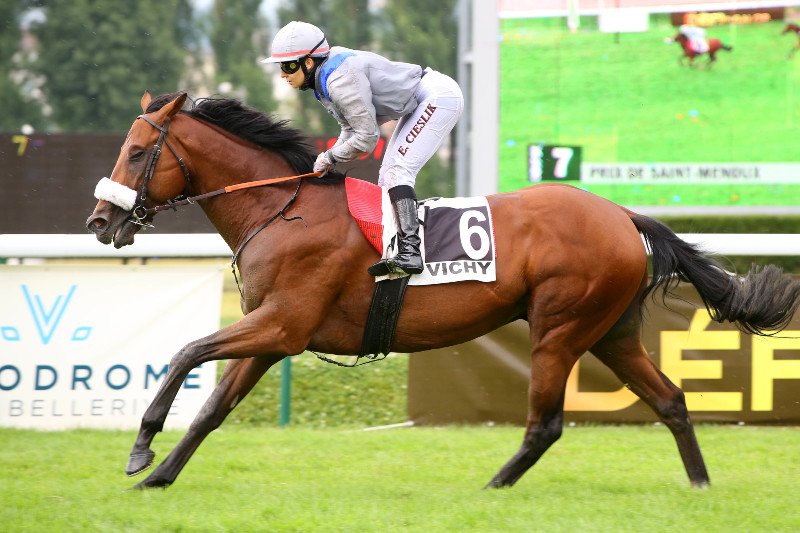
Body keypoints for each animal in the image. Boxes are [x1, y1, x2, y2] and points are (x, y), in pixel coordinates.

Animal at [86, 91, 800, 490]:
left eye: (138, 150)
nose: (99, 221)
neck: (282, 209)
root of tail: (623, 215)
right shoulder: (271, 334)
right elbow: (214, 407)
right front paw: (161, 476)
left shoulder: (282, 324)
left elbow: (185, 352)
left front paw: (141, 447)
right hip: (612, 333)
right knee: (672, 400)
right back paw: (701, 486)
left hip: (561, 328)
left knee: (547, 423)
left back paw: (493, 486)